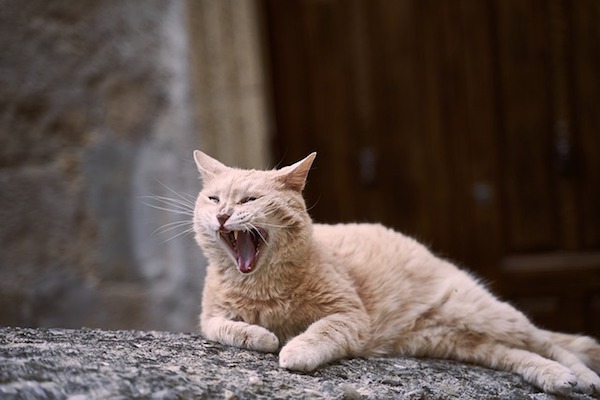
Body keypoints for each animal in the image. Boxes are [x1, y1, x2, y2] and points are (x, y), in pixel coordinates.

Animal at [192, 151, 600, 396]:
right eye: (214, 199)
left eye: (249, 200)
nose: (223, 215)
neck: (262, 286)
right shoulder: (210, 318)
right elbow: (231, 329)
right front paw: (262, 335)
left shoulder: (349, 315)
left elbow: (319, 332)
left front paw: (294, 350)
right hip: (459, 341)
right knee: (516, 354)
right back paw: (557, 378)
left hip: (488, 314)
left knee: (551, 343)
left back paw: (584, 377)